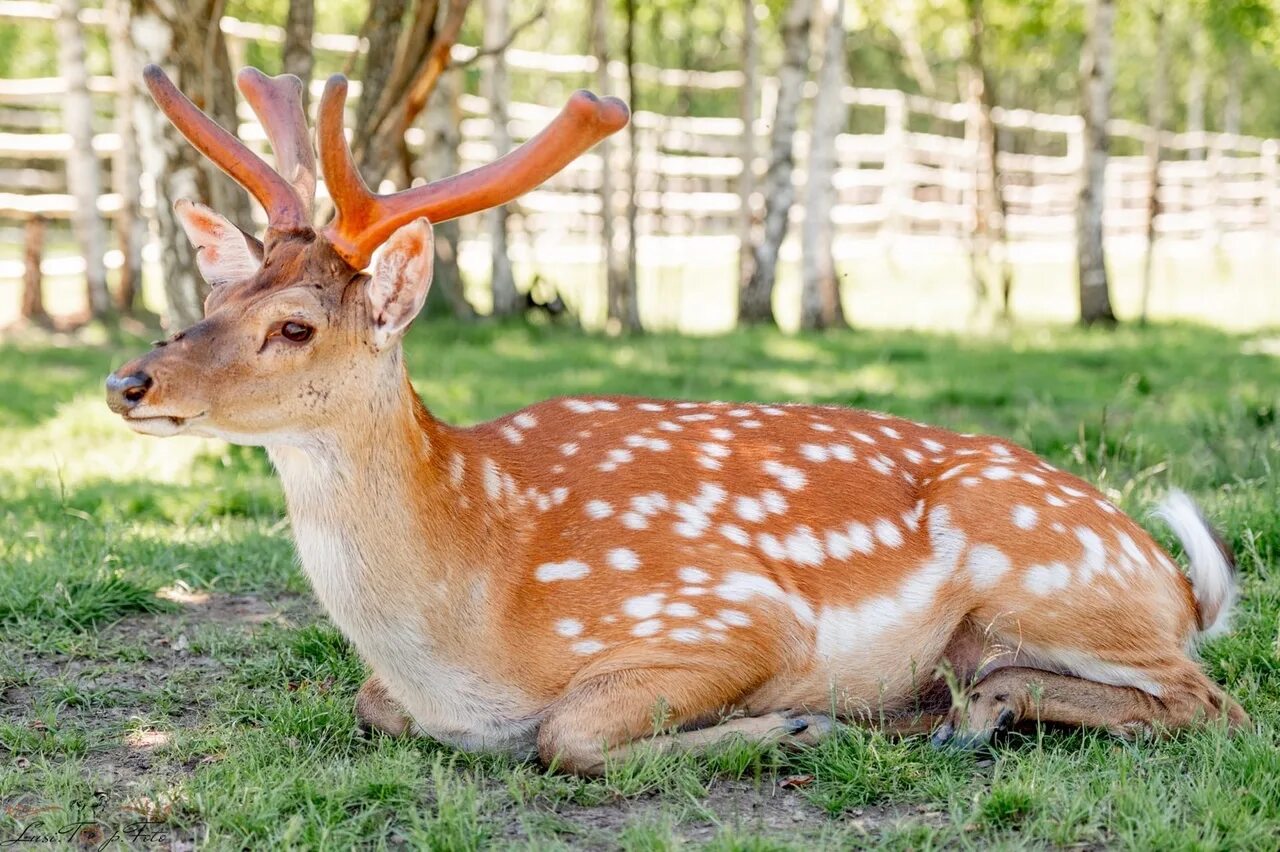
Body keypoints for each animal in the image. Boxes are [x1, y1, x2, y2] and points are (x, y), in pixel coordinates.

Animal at [104, 64, 1244, 767]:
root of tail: (1178, 585)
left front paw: (792, 729)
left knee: (1210, 702)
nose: (130, 383)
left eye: (293, 327)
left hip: (1048, 574)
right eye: (211, 298)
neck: (466, 628)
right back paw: (967, 705)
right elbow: (369, 703)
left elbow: (566, 734)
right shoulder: (403, 694)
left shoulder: (721, 612)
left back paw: (973, 711)